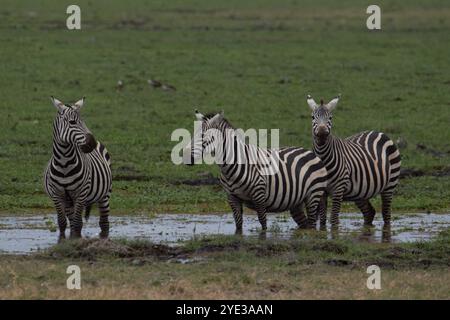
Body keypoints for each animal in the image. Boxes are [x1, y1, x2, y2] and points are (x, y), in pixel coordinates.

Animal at [43, 96, 112, 239]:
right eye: (72, 122)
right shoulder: (56, 195)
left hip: (105, 194)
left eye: (83, 121)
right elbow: (62, 223)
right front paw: (63, 241)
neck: (64, 163)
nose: (91, 143)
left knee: (104, 223)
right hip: (69, 201)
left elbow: (78, 224)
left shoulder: (81, 194)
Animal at [183, 110, 326, 232]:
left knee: (312, 223)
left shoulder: (259, 195)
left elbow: (263, 223)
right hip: (296, 202)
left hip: (313, 194)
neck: (231, 167)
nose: (185, 157)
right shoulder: (232, 198)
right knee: (305, 224)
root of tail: (309, 152)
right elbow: (238, 225)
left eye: (203, 136)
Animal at [306, 94, 400, 229]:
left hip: (390, 185)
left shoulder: (338, 190)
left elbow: (334, 219)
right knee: (369, 212)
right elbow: (323, 220)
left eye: (331, 117)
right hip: (360, 191)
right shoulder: (322, 191)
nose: (322, 132)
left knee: (386, 214)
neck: (324, 159)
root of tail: (378, 132)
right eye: (313, 117)